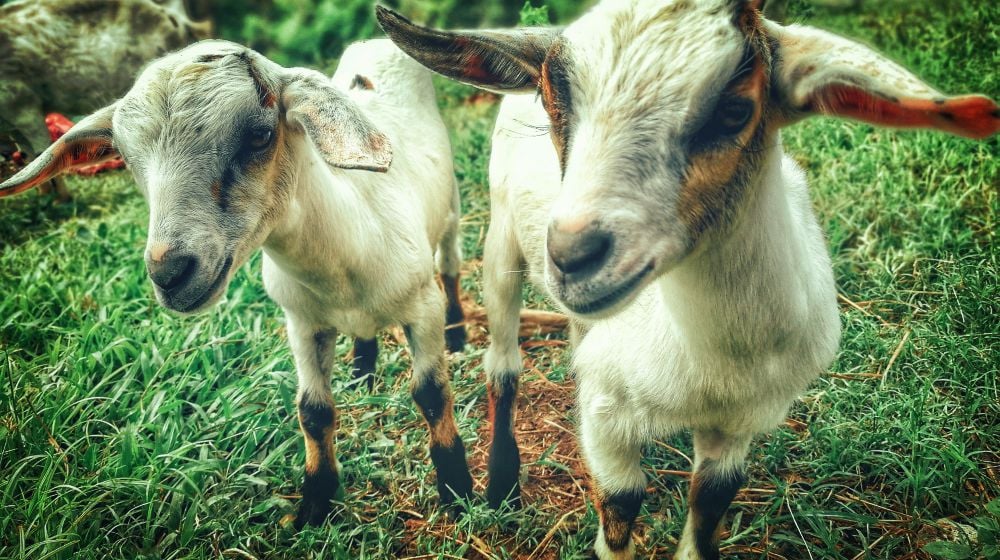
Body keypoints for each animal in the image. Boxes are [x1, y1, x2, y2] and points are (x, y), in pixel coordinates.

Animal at [0, 0, 211, 201]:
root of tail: (178, 22)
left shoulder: (26, 109)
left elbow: (38, 151)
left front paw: (61, 200)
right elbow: (26, 155)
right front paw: (44, 196)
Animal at [0, 38, 473, 528]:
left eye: (260, 135)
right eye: (127, 161)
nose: (170, 274)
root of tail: (374, 42)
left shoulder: (422, 307)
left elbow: (432, 394)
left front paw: (457, 489)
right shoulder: (301, 322)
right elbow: (313, 412)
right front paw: (314, 504)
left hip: (451, 212)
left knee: (451, 265)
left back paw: (458, 334)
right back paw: (363, 369)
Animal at [377, 1, 999, 558]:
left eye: (734, 111)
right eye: (556, 106)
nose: (573, 256)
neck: (714, 358)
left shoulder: (741, 423)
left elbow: (708, 511)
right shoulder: (607, 423)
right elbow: (621, 507)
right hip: (502, 242)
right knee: (503, 364)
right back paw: (501, 484)